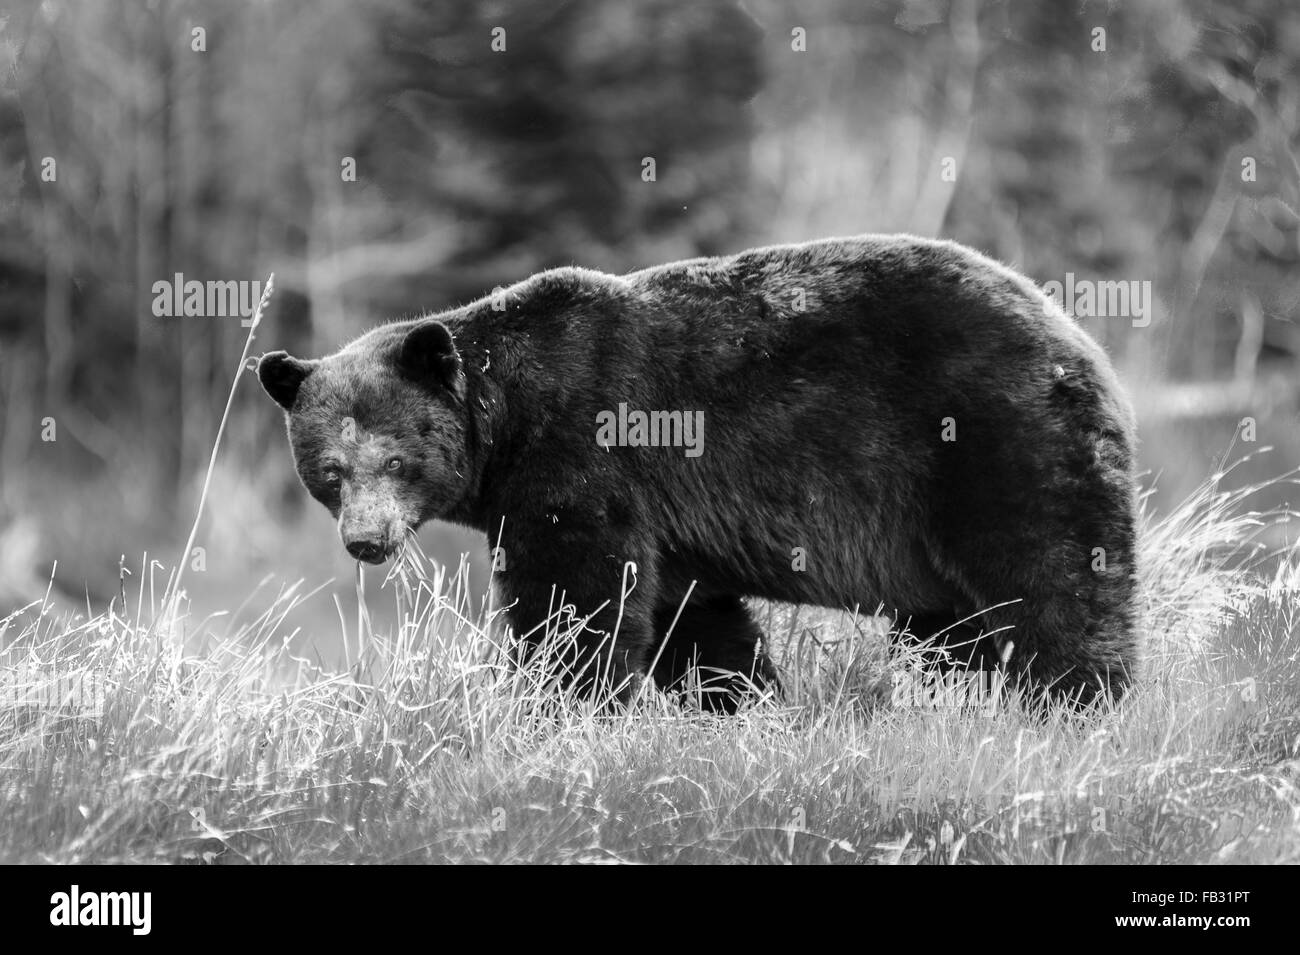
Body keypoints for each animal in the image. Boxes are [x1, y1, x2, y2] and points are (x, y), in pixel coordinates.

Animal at [261, 235, 1138, 712]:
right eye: (329, 469)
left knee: (1050, 581)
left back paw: (1077, 703)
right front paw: (744, 702)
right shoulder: (671, 524)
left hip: (990, 444)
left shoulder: (583, 453)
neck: (505, 420)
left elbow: (574, 596)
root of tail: (1080, 339)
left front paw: (559, 705)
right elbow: (695, 619)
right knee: (954, 627)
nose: (366, 541)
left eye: (395, 457)